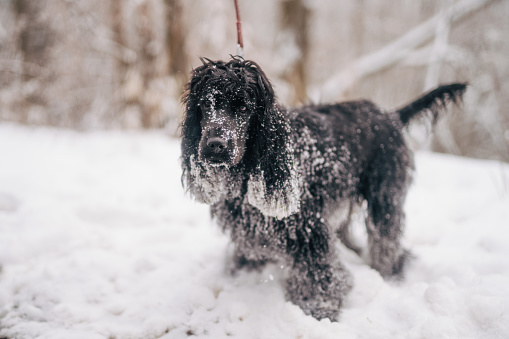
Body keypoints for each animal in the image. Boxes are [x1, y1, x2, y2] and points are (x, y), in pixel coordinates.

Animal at [179, 56, 464, 322]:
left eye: (242, 107)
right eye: (205, 105)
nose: (215, 145)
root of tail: (390, 115)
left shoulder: (308, 229)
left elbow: (320, 274)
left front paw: (318, 308)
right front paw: (242, 275)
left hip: (385, 196)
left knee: (387, 240)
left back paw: (389, 274)